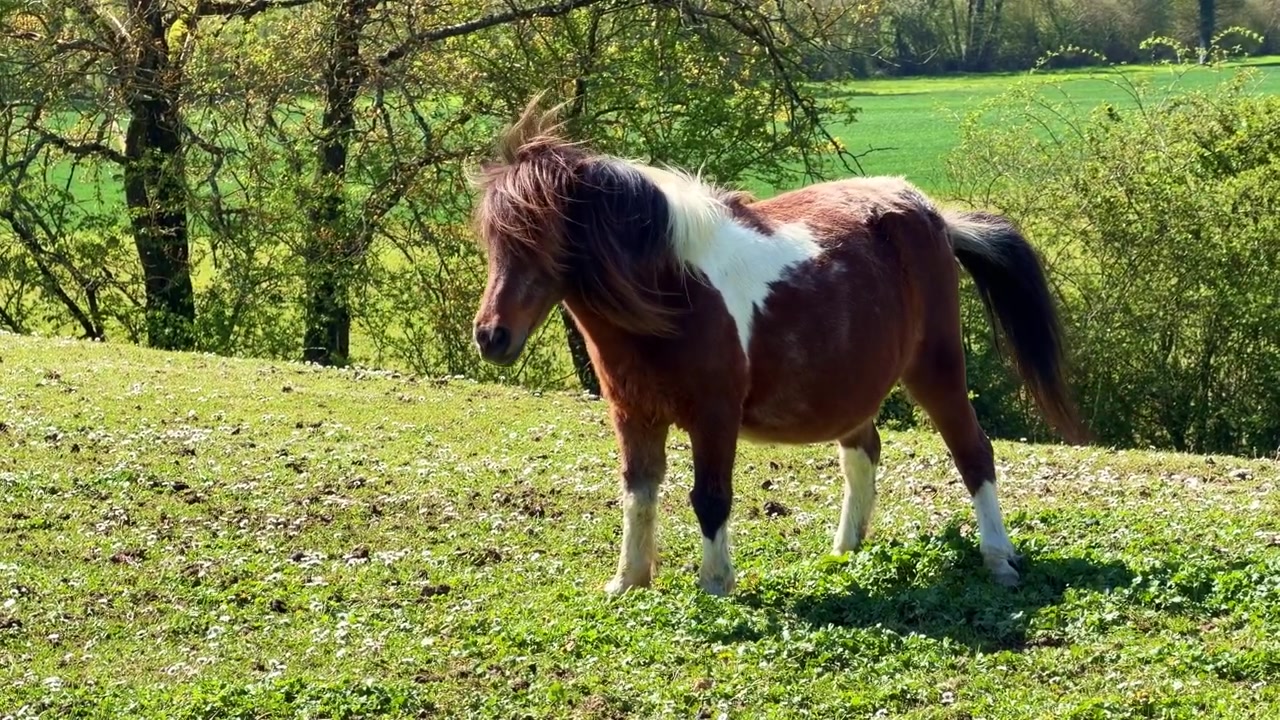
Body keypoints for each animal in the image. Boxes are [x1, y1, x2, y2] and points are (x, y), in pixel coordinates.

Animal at [469, 96, 1089, 596]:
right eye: (493, 239)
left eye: (543, 237)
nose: (491, 335)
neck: (676, 295)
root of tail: (934, 216)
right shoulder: (634, 415)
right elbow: (637, 495)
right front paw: (628, 581)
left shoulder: (714, 417)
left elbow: (709, 497)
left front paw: (715, 584)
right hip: (853, 389)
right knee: (863, 453)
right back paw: (844, 551)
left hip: (935, 370)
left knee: (973, 453)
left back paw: (999, 559)